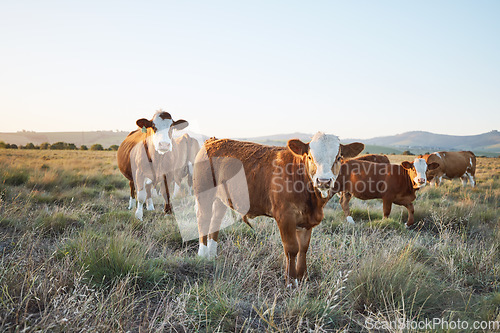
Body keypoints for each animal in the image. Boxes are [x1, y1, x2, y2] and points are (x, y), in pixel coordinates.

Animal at [193, 132, 366, 286]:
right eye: (310, 157)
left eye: (339, 158)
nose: (323, 181)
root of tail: (212, 140)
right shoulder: (285, 217)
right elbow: (292, 249)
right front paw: (291, 281)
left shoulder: (306, 220)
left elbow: (303, 248)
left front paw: (303, 277)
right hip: (203, 193)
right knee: (203, 220)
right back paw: (202, 254)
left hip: (222, 199)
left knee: (215, 221)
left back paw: (212, 255)